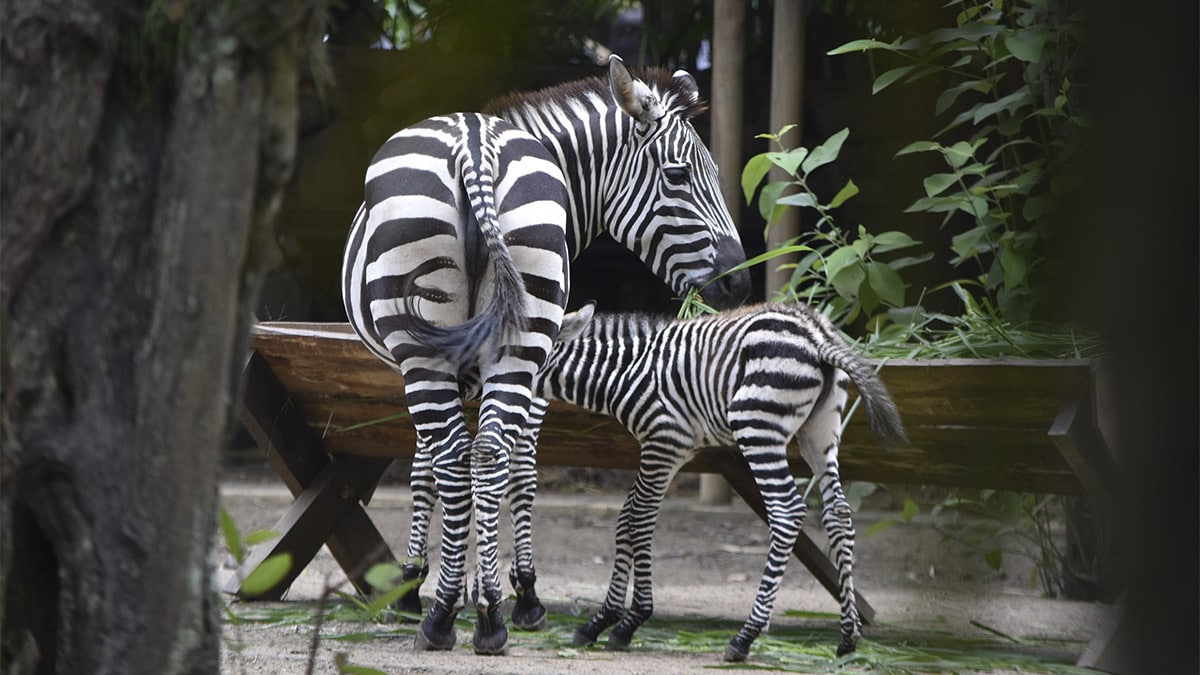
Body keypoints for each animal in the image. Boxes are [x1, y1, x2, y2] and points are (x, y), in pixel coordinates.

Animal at [341, 55, 750, 655]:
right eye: (678, 176)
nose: (738, 284)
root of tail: (474, 145)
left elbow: (455, 469)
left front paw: (450, 586)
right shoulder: (534, 359)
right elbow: (481, 469)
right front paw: (456, 584)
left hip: (433, 343)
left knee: (466, 456)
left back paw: (454, 617)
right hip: (499, 333)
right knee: (480, 455)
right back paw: (479, 615)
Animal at [533, 301, 908, 661]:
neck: (624, 371)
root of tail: (816, 332)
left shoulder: (664, 442)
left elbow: (638, 520)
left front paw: (628, 621)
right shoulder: (669, 451)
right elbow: (628, 517)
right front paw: (604, 620)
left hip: (757, 425)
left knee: (786, 512)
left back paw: (745, 637)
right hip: (820, 434)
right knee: (839, 515)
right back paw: (847, 639)